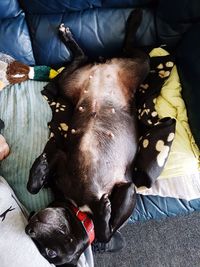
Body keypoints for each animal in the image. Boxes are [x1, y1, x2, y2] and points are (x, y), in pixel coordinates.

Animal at [25, 9, 149, 266]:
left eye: (51, 253)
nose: (30, 228)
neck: (80, 209)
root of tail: (105, 67)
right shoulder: (61, 158)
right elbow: (33, 188)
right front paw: (39, 170)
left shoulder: (127, 188)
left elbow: (106, 232)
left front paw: (104, 213)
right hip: (69, 81)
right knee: (82, 57)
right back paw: (67, 35)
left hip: (141, 63)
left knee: (127, 45)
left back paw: (135, 18)